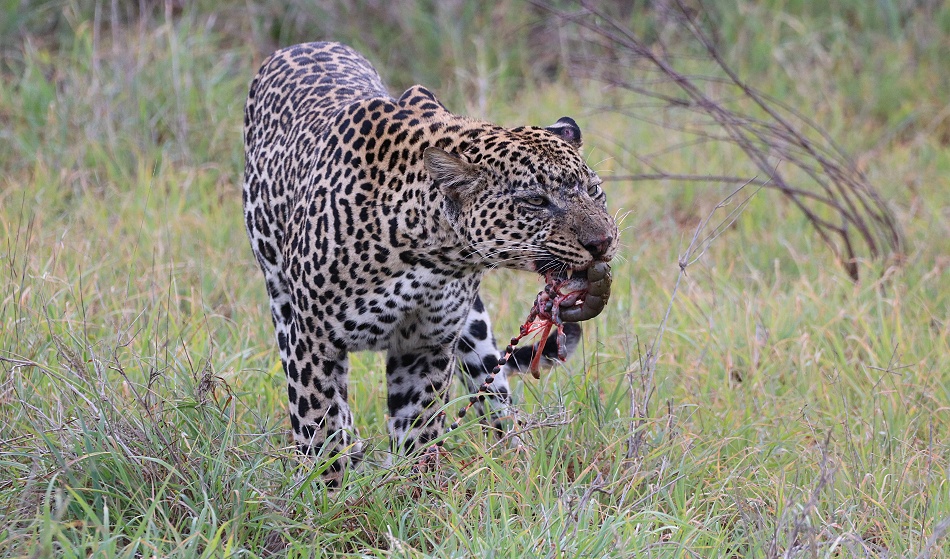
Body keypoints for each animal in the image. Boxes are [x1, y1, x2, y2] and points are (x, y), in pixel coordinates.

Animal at [242, 42, 618, 486]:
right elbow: (320, 428)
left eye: (594, 191)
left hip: (475, 336)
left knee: (497, 403)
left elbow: (417, 430)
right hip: (281, 302)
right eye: (535, 201)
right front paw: (327, 493)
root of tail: (305, 44)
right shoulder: (313, 342)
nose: (603, 243)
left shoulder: (425, 347)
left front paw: (412, 492)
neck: (431, 256)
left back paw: (517, 468)